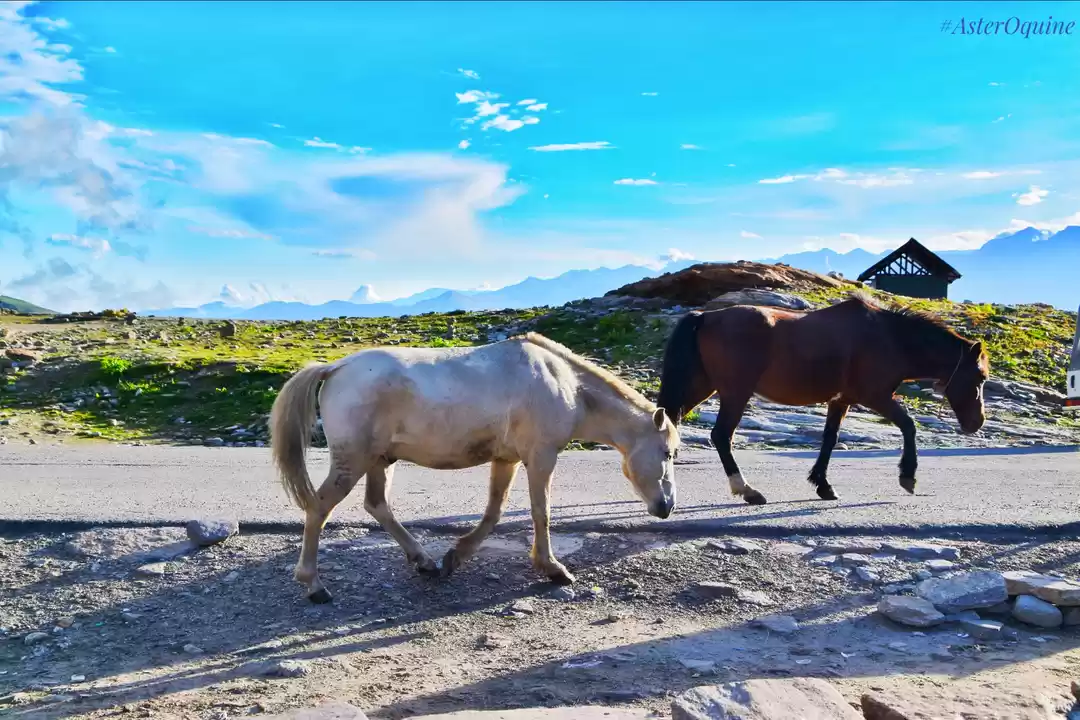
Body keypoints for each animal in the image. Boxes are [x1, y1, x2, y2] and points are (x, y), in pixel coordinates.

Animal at [270, 331, 681, 603]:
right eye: (668, 452)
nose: (667, 506)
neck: (566, 385)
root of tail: (336, 368)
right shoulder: (541, 457)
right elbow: (541, 512)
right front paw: (553, 569)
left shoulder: (506, 459)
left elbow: (494, 512)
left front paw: (456, 556)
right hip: (352, 461)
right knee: (319, 508)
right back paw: (314, 584)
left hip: (379, 460)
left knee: (376, 505)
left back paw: (425, 561)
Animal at [656, 290, 988, 505]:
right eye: (981, 378)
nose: (977, 422)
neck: (891, 338)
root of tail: (705, 316)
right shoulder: (876, 395)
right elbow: (909, 425)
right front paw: (908, 477)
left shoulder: (841, 400)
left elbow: (830, 439)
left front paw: (823, 485)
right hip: (735, 392)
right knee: (721, 436)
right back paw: (748, 491)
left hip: (702, 387)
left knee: (669, 423)